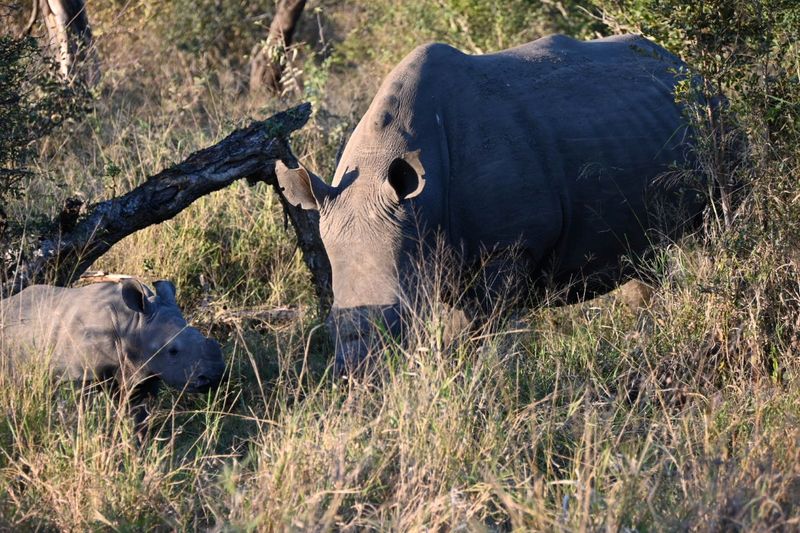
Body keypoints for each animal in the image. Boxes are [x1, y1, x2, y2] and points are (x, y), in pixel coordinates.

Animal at [0, 279, 225, 423]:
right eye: (173, 351)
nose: (214, 377)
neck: (134, 325)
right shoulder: (80, 377)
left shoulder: (144, 372)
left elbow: (139, 418)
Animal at [276, 34, 707, 372]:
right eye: (330, 326)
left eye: (400, 321)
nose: (358, 381)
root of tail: (688, 67)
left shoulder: (510, 245)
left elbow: (476, 329)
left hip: (708, 121)